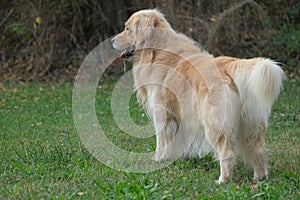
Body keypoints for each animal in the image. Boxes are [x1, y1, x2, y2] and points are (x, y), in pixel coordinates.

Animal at [111, 9, 284, 184]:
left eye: (127, 29)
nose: (111, 40)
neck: (156, 50)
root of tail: (228, 65)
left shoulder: (162, 114)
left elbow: (162, 140)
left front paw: (158, 159)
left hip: (215, 123)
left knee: (227, 152)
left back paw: (223, 179)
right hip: (251, 124)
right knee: (258, 149)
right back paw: (259, 176)